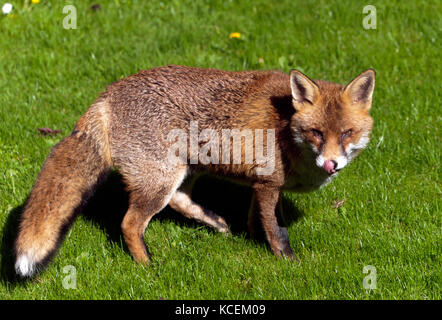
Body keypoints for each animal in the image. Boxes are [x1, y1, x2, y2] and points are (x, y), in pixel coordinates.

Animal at [13, 65, 374, 278]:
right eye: (316, 133)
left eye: (347, 133)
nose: (331, 164)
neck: (286, 128)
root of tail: (107, 95)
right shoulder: (269, 184)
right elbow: (278, 230)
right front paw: (287, 262)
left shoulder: (260, 185)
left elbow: (256, 219)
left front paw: (253, 239)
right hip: (159, 180)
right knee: (130, 223)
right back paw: (148, 267)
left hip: (184, 171)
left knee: (179, 201)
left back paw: (215, 223)